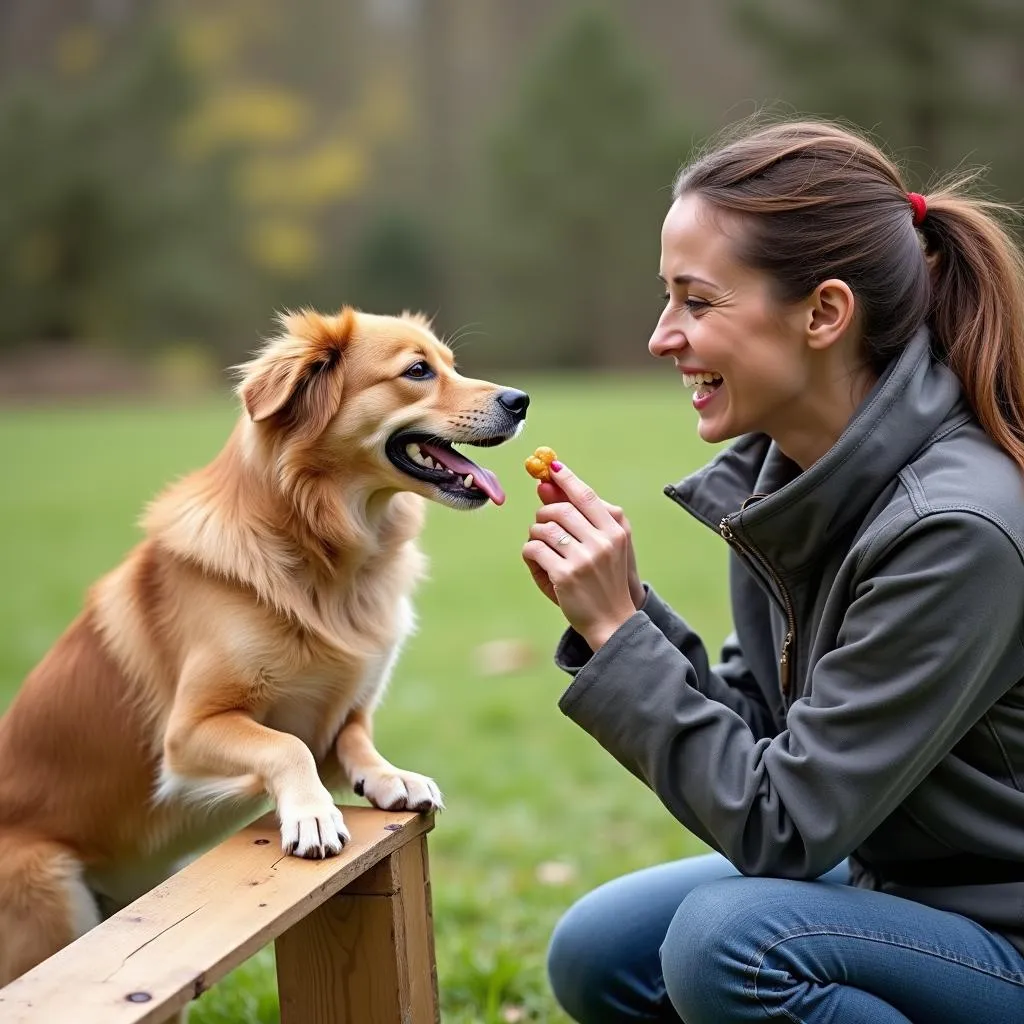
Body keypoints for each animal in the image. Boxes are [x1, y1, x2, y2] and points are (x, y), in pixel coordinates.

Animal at [0, 307, 528, 987]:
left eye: (451, 364)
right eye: (417, 371)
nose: (521, 401)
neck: (324, 554)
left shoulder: (343, 713)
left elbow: (352, 738)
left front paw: (391, 778)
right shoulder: (188, 732)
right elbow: (283, 745)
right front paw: (312, 814)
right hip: (50, 896)